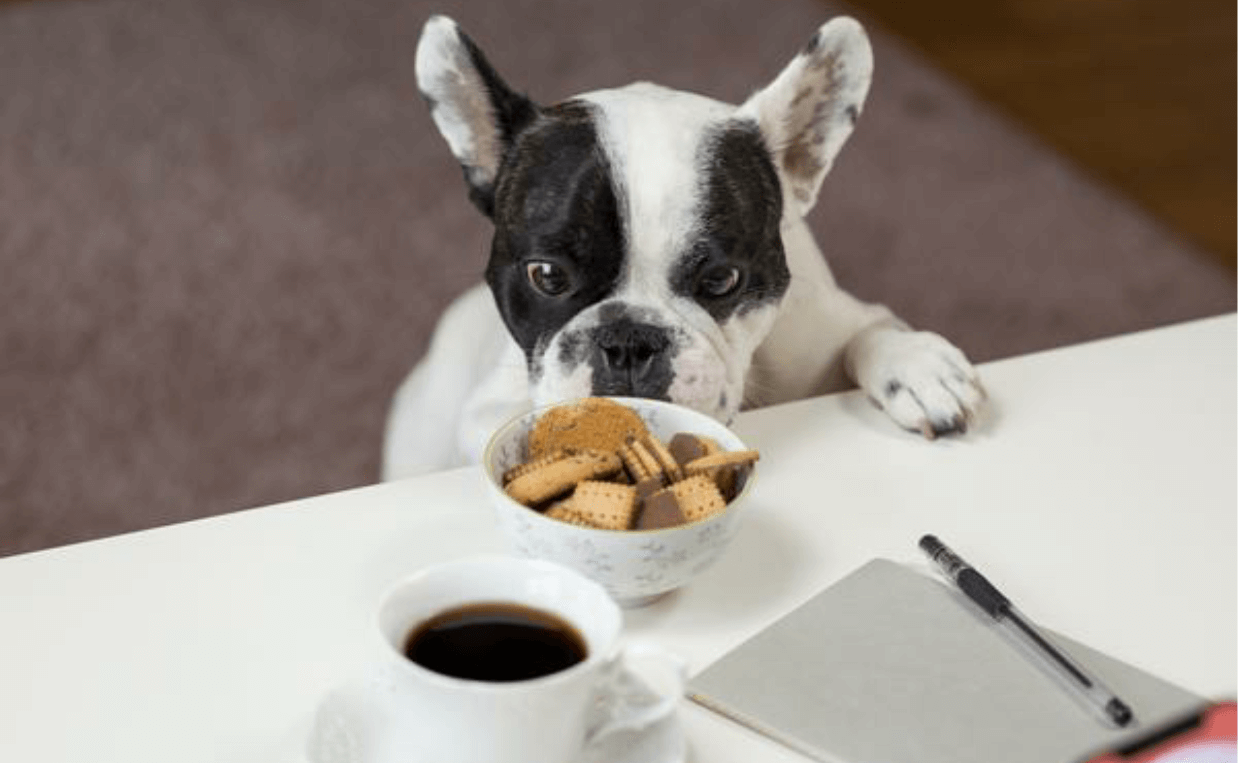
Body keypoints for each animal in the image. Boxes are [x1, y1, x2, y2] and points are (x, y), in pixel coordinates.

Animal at [381, 16, 980, 475]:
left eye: (721, 280)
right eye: (547, 276)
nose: (628, 341)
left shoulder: (824, 325)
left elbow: (871, 329)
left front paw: (917, 366)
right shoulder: (486, 410)